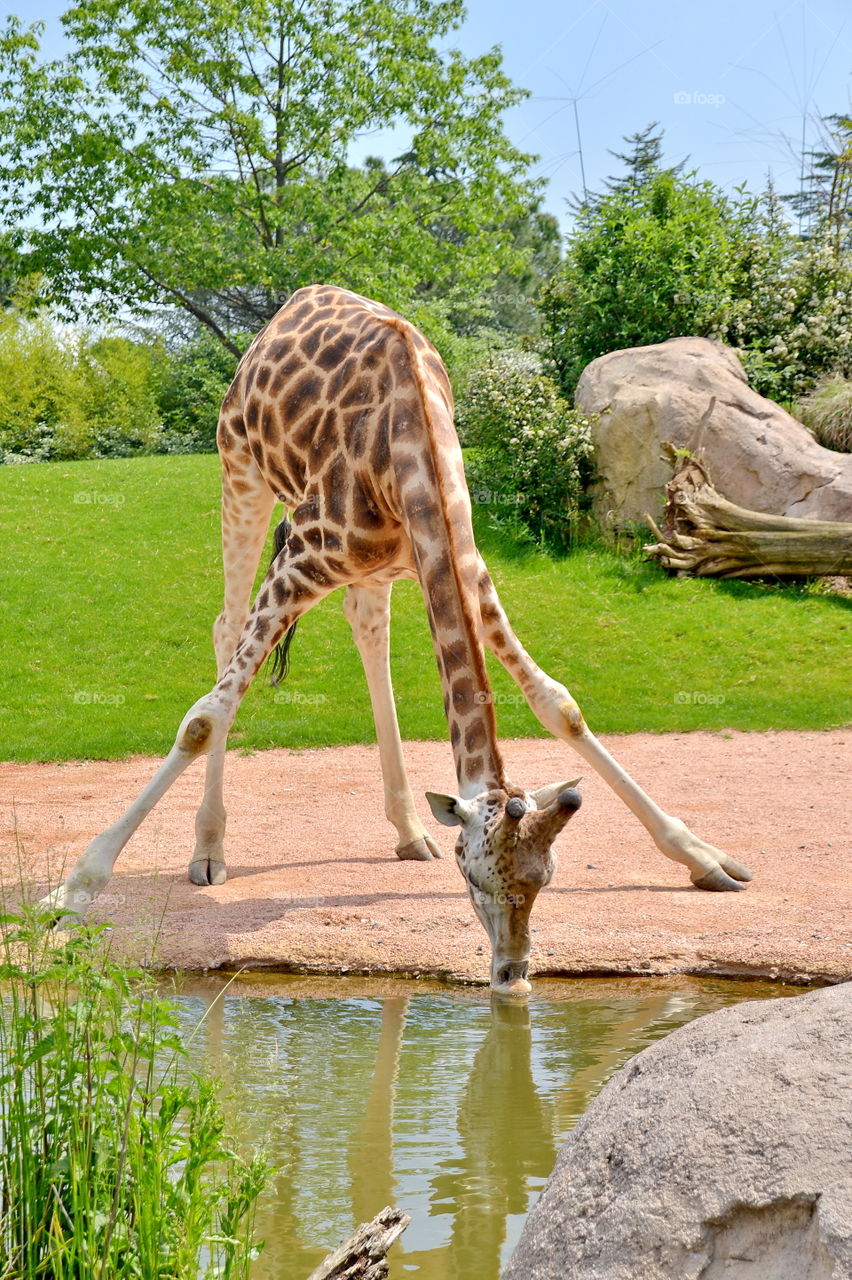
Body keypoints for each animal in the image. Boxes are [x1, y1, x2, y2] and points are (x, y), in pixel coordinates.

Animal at [42, 285, 752, 995]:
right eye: (474, 875)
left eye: (545, 878)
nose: (513, 973)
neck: (409, 446)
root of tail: (293, 303)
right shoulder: (299, 560)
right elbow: (203, 718)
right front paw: (71, 891)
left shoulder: (463, 562)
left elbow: (558, 703)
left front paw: (705, 858)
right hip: (240, 471)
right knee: (226, 627)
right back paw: (210, 851)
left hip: (374, 567)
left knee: (366, 629)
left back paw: (410, 830)